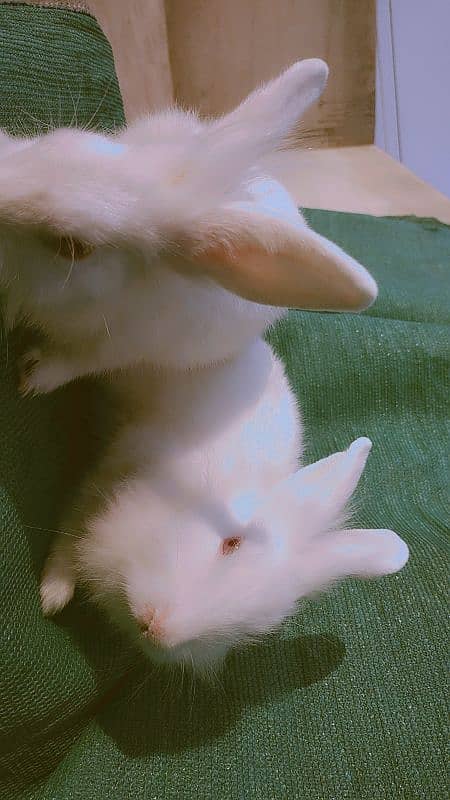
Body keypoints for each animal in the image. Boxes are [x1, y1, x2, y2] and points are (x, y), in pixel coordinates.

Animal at [0, 61, 408, 668]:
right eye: (229, 542)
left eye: (243, 635)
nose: (157, 628)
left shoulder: (115, 361)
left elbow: (70, 373)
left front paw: (51, 595)